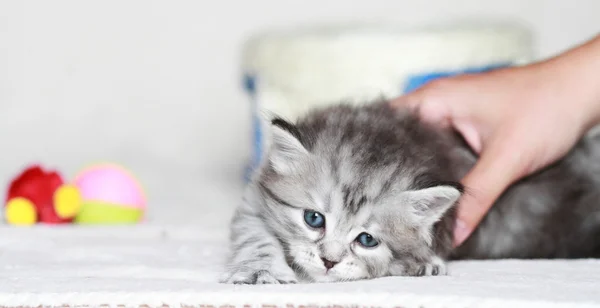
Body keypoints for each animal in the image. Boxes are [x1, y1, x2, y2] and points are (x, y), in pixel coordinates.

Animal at [220, 101, 600, 284]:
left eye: (367, 240)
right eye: (314, 219)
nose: (329, 261)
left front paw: (424, 264)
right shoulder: (255, 196)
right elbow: (255, 235)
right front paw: (261, 271)